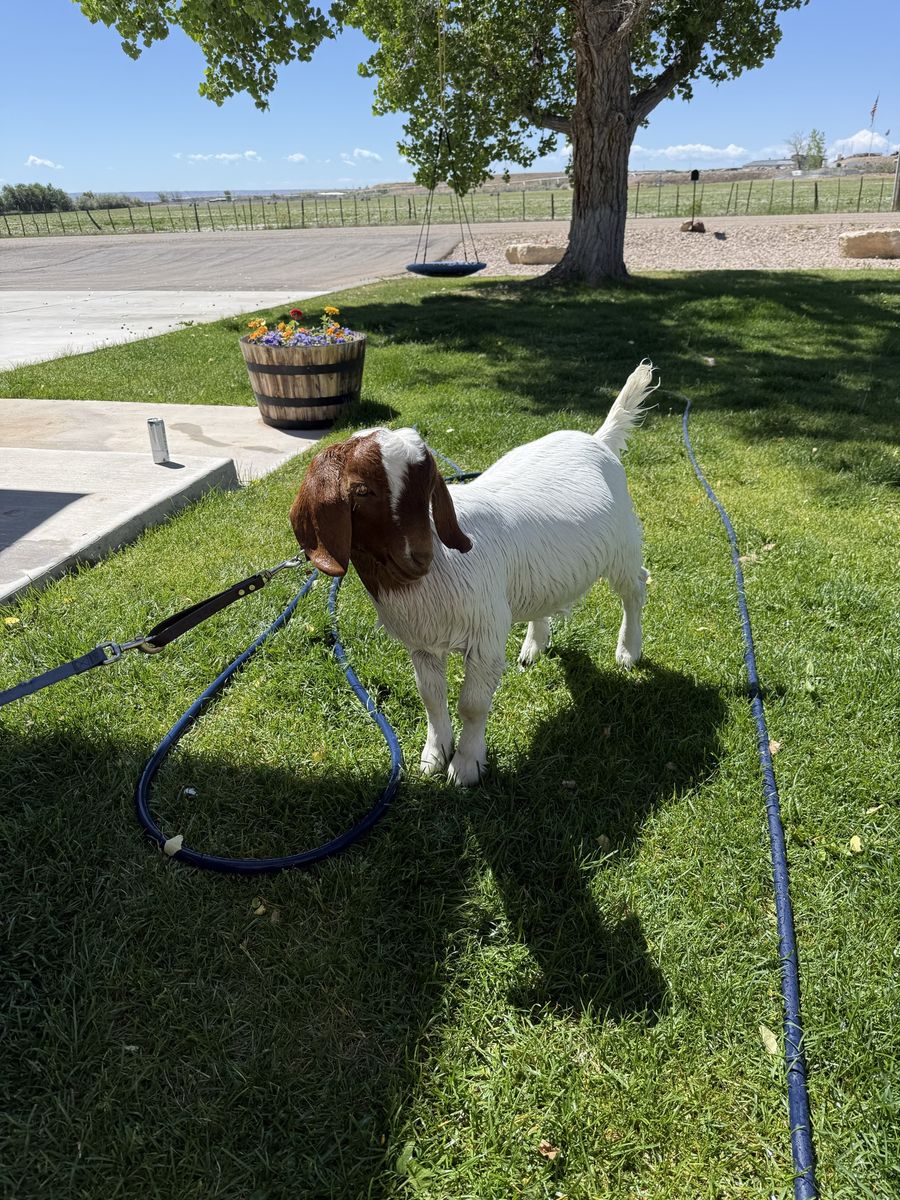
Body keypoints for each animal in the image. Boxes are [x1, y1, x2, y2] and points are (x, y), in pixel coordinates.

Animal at [290, 361, 655, 786]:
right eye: (361, 491)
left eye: (427, 485)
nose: (419, 557)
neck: (435, 575)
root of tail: (598, 441)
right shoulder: (422, 644)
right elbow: (432, 699)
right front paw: (434, 755)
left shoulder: (484, 636)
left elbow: (473, 704)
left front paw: (465, 765)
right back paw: (534, 646)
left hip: (623, 547)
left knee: (635, 589)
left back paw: (628, 651)